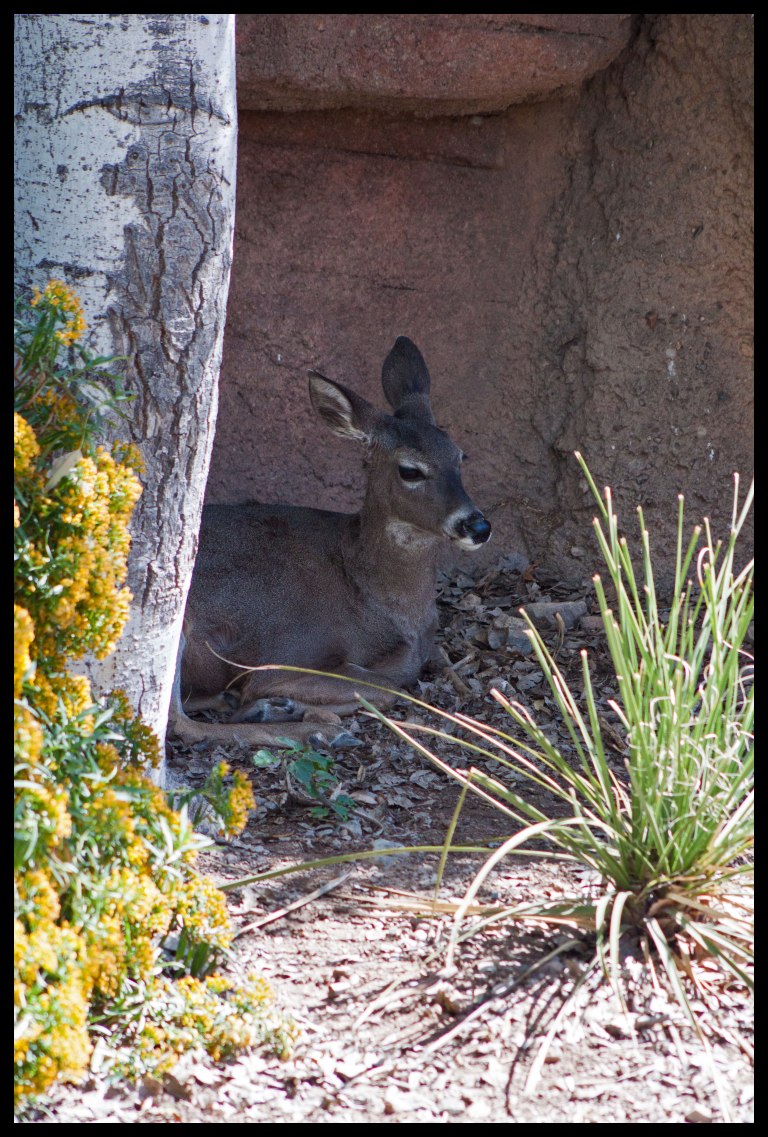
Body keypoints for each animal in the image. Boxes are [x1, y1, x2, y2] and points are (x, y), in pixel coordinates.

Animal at [169, 336, 491, 749]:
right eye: (410, 470)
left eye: (460, 456)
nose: (477, 525)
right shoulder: (280, 655)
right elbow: (388, 687)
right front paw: (283, 706)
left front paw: (280, 705)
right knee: (176, 722)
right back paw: (314, 728)